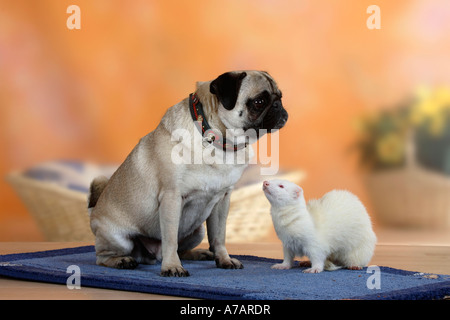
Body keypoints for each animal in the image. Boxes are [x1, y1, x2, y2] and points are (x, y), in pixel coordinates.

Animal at [88, 70, 288, 276]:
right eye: (259, 101)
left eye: (280, 96)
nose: (278, 105)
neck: (216, 139)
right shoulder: (172, 197)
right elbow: (170, 239)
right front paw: (172, 266)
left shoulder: (222, 200)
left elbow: (219, 236)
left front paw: (224, 259)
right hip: (118, 238)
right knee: (102, 257)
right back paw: (122, 260)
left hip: (198, 230)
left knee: (182, 249)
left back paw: (198, 253)